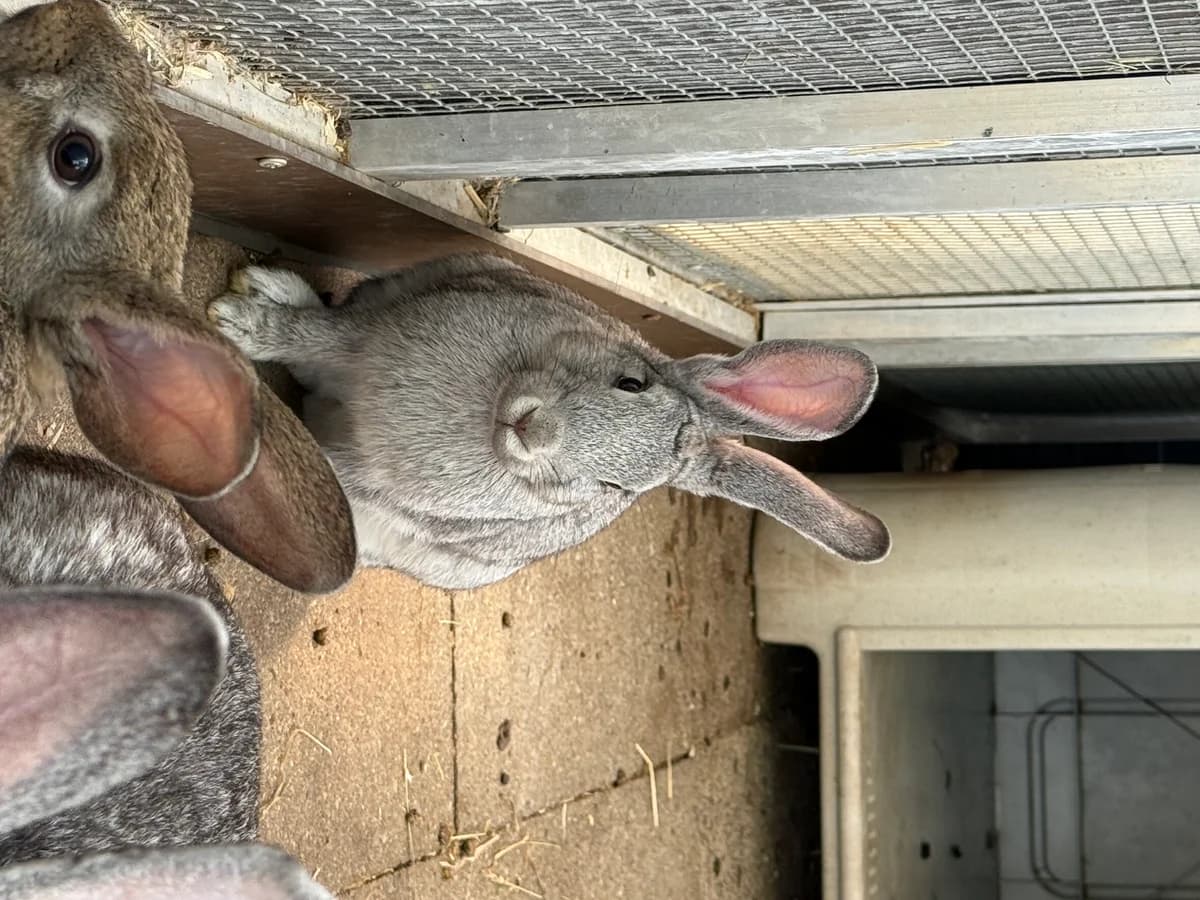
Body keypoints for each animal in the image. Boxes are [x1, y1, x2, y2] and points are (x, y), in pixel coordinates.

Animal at [209, 253, 892, 590]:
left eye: (617, 490)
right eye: (632, 381)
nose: (536, 431)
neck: (491, 408)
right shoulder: (362, 337)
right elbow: (313, 336)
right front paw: (236, 321)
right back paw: (268, 287)